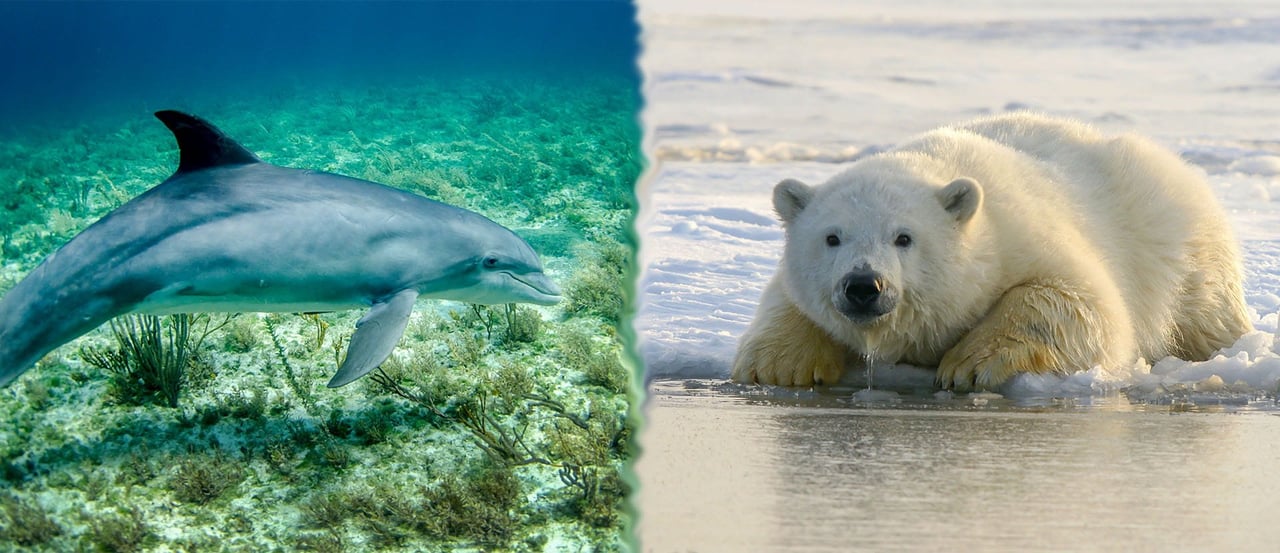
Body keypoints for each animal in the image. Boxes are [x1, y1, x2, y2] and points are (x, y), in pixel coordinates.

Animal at [732, 113, 1253, 391]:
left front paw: (968, 365)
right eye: (832, 237)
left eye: (904, 237)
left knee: (1206, 314)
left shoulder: (1024, 236)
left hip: (1181, 249)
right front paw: (780, 366)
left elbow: (1081, 303)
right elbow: (786, 298)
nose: (863, 286)